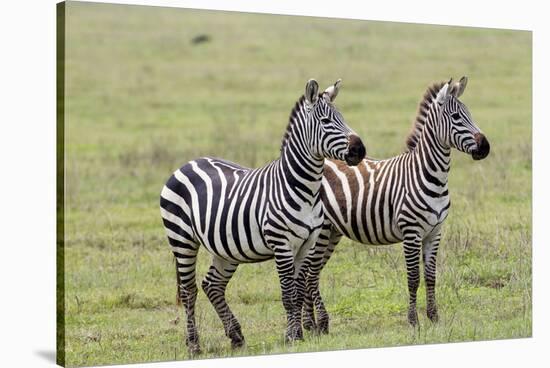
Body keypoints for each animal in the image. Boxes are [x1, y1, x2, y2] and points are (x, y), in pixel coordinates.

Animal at [160, 79, 366, 352]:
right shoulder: (282, 244)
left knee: (212, 285)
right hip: (181, 239)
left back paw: (236, 336)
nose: (360, 150)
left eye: (342, 118)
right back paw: (194, 345)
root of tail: (187, 164)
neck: (305, 189)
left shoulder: (307, 244)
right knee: (188, 291)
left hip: (225, 248)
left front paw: (298, 333)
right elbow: (288, 294)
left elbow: (298, 291)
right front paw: (292, 336)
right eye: (325, 121)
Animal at [306, 76, 492, 332]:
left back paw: (310, 325)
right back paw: (316, 325)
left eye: (469, 114)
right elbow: (413, 278)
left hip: (332, 232)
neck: (429, 174)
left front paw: (434, 317)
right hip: (321, 232)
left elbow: (431, 276)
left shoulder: (434, 232)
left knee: (308, 274)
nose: (485, 147)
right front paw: (413, 321)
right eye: (456, 117)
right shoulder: (411, 232)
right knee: (309, 274)